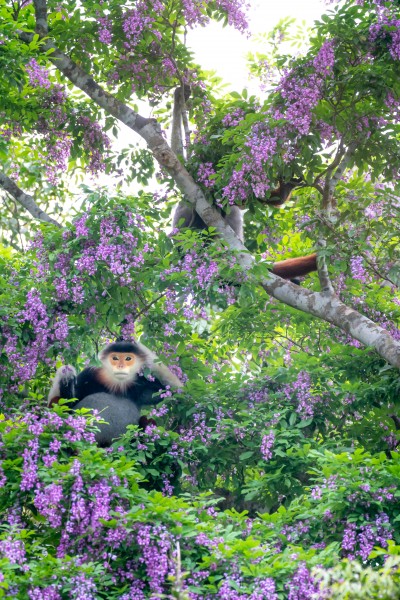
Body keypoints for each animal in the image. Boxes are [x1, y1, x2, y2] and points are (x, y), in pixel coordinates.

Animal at [48, 342, 183, 446]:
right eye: (115, 358)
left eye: (128, 358)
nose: (120, 366)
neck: (117, 384)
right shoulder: (89, 375)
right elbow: (60, 404)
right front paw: (66, 376)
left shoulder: (142, 385)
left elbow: (173, 391)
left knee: (147, 420)